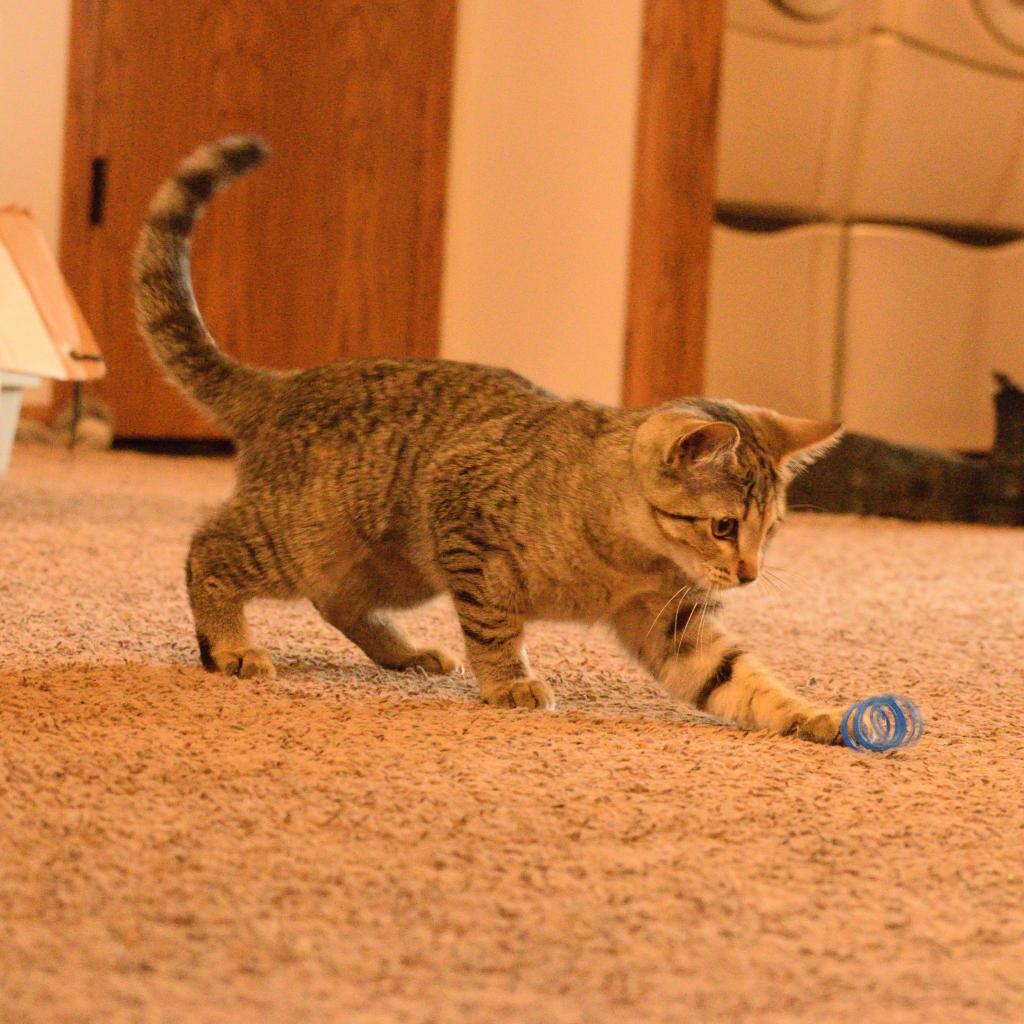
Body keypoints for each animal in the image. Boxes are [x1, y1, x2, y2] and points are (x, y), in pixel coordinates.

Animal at [134, 136, 847, 745]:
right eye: (724, 527)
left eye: (770, 530)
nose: (750, 574)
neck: (626, 556)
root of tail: (285, 383)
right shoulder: (465, 523)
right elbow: (494, 623)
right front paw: (510, 681)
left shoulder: (670, 619)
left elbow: (738, 679)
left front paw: (811, 716)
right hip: (306, 538)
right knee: (209, 550)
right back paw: (229, 644)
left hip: (398, 567)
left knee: (338, 600)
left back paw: (404, 651)